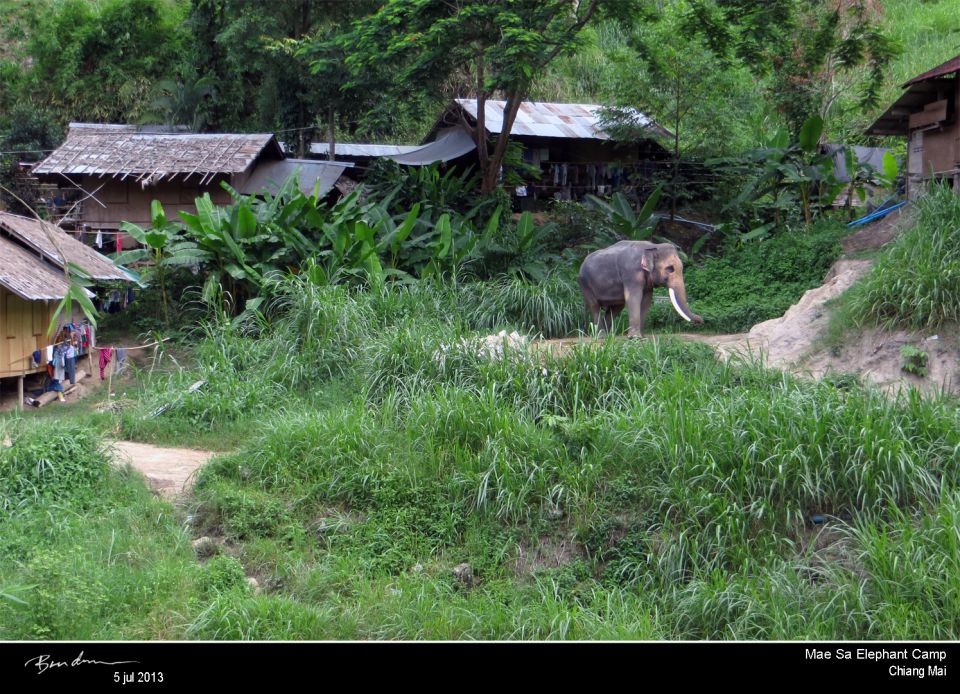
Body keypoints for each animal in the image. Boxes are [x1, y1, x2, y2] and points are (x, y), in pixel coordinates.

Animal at [576, 241, 704, 338]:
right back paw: (601, 336)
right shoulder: (631, 273)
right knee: (594, 306)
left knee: (615, 308)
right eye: (670, 268)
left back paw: (609, 336)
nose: (701, 320)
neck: (652, 246)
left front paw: (642, 337)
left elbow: (647, 300)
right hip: (584, 283)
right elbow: (634, 297)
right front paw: (635, 338)